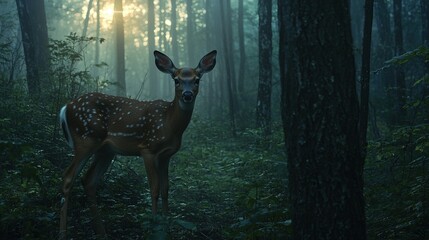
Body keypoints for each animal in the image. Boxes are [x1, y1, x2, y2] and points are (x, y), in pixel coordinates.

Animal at [58, 50, 216, 238]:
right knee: (67, 177)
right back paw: (63, 233)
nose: (187, 95)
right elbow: (154, 189)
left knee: (88, 180)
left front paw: (167, 227)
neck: (169, 124)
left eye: (197, 79)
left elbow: (166, 189)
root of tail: (65, 108)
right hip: (85, 139)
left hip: (105, 151)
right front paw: (155, 227)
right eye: (176, 80)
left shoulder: (166, 156)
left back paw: (102, 233)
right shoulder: (147, 149)